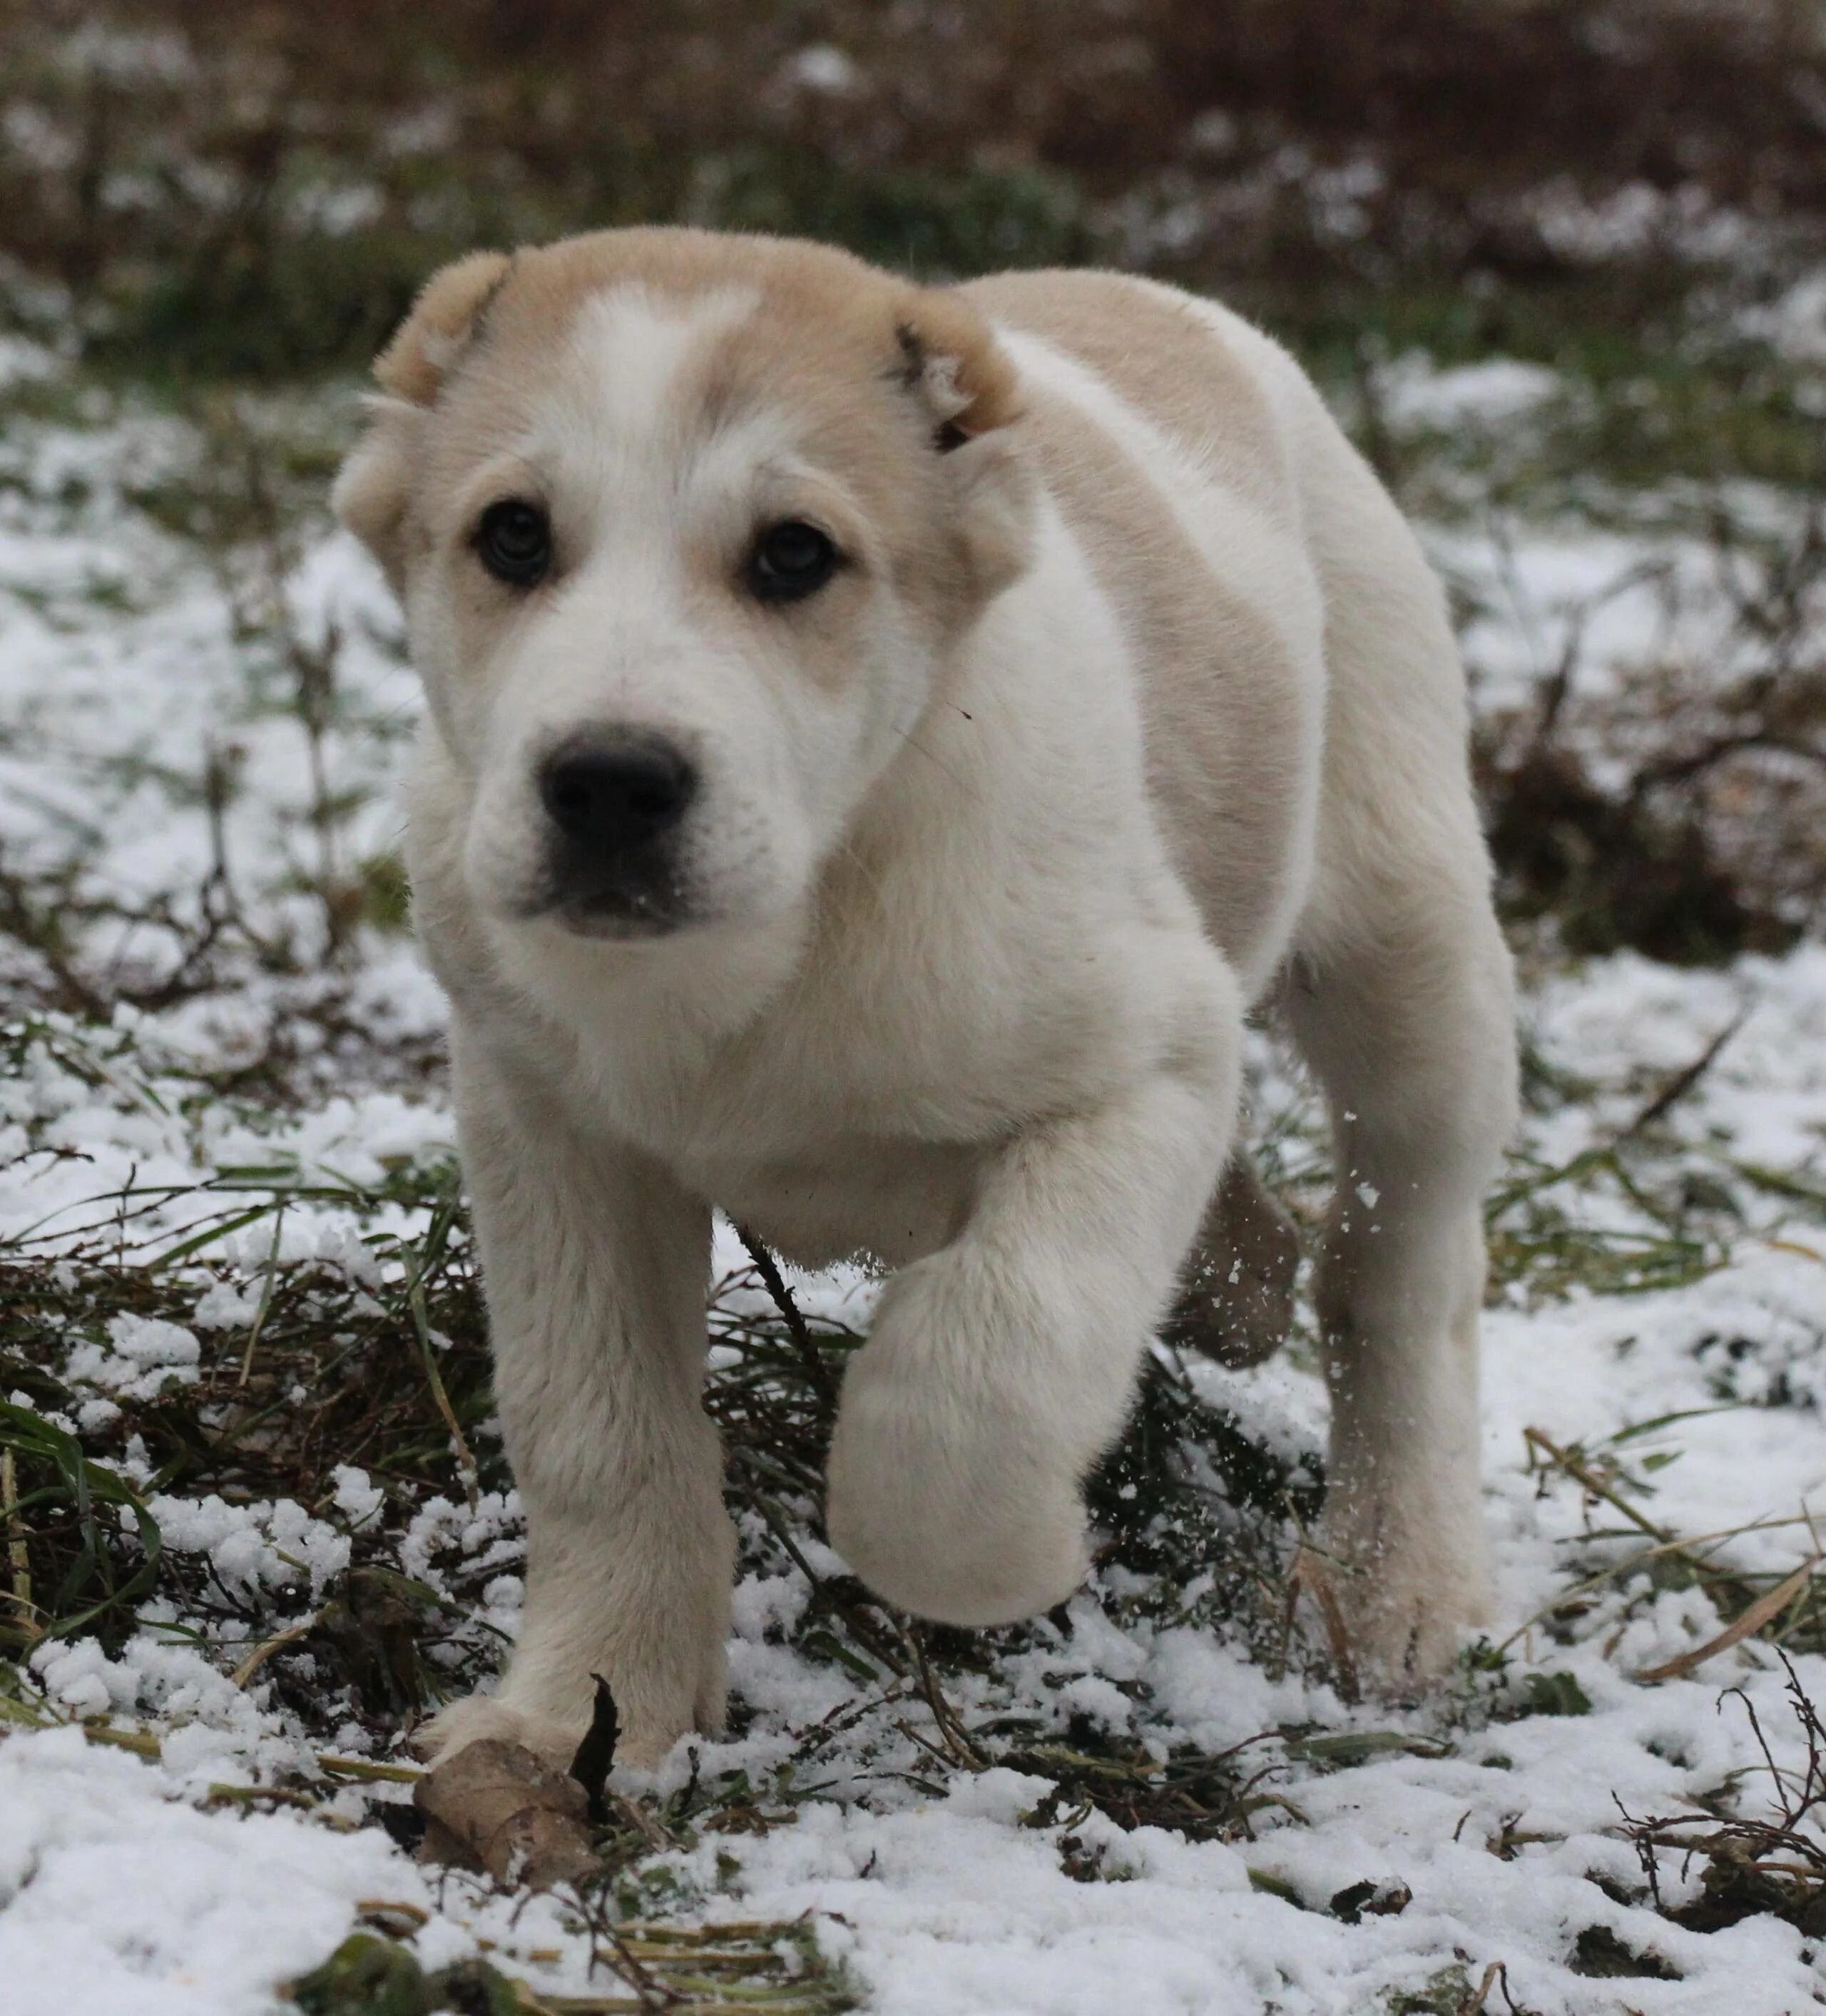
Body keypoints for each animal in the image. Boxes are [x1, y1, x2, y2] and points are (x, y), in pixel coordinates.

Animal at [335, 225, 1515, 1766]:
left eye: (794, 555)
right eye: (513, 537)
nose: (607, 784)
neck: (803, 901)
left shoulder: (1150, 1065)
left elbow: (979, 1373)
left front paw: (1013, 1562)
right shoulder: (546, 1122)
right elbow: (595, 1428)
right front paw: (581, 1711)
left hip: (1408, 951)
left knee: (1400, 1270)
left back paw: (1397, 1580)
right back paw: (1240, 1282)